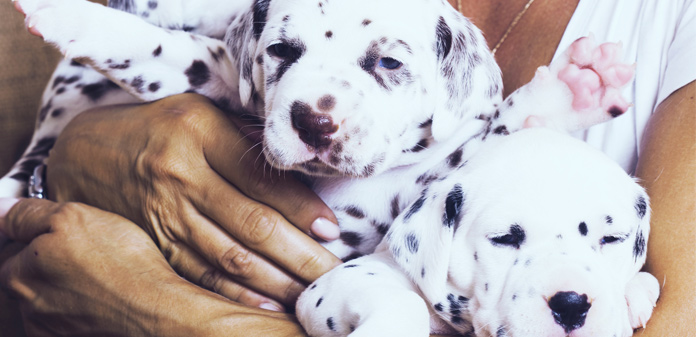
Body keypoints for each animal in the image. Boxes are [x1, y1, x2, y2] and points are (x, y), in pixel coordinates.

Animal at [296, 127, 660, 334]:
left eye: (611, 239)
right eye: (505, 239)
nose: (571, 305)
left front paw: (634, 294)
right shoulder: (333, 286)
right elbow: (405, 303)